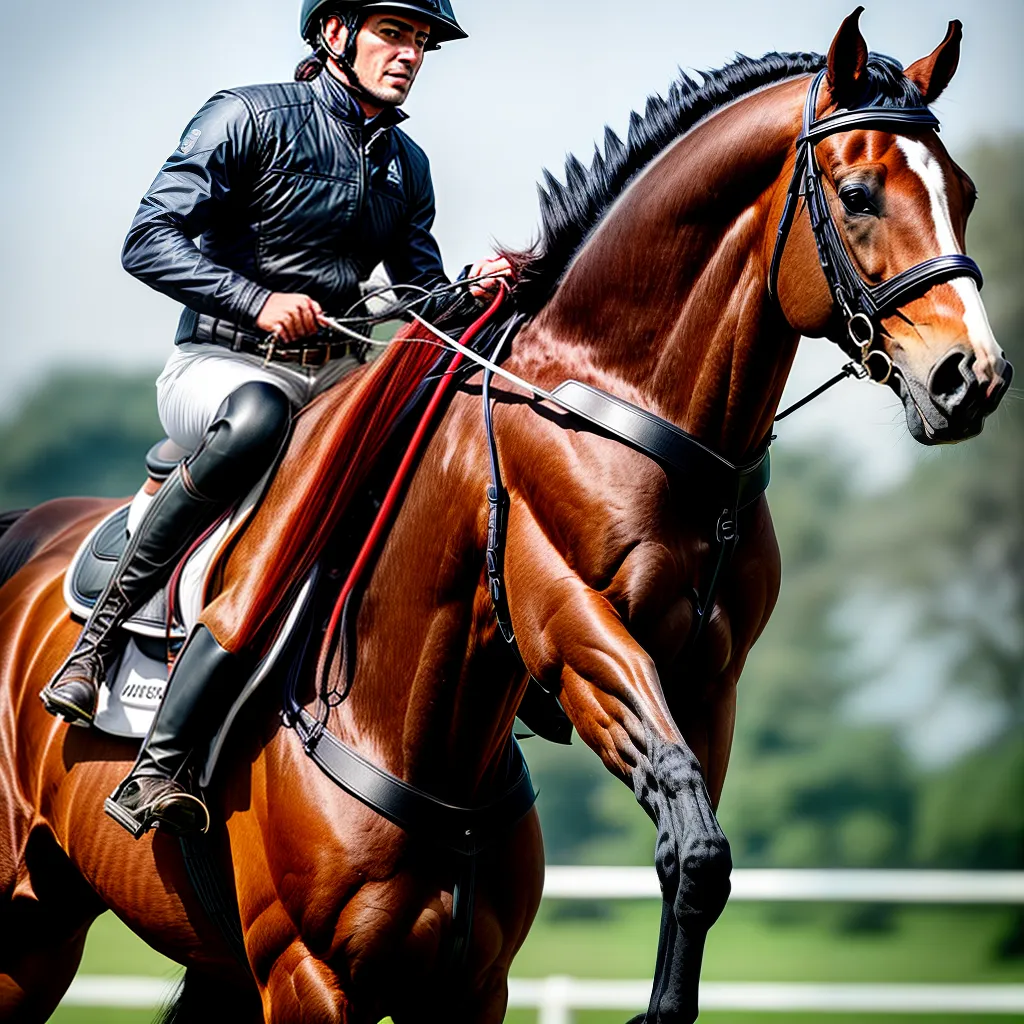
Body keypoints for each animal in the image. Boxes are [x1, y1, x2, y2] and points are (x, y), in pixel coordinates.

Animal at [0, 11, 1011, 1023]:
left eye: (962, 191)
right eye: (858, 193)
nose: (974, 377)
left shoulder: (698, 685)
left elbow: (695, 849)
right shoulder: (568, 630)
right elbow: (683, 811)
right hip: (37, 926)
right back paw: (94, 695)